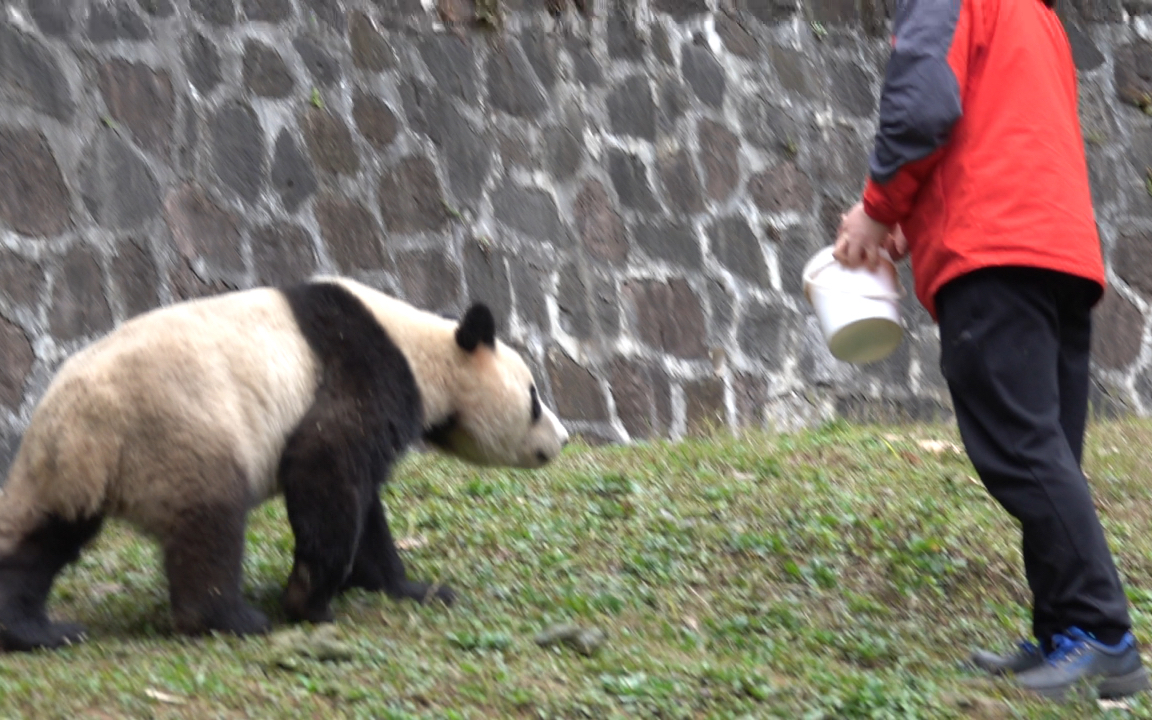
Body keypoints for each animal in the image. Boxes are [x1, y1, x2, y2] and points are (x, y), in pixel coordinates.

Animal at [0, 276, 569, 649]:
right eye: (534, 397)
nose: (562, 439)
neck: (422, 346)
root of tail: (79, 418)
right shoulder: (362, 366)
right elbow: (324, 458)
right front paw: (308, 601)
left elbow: (364, 508)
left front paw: (411, 588)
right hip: (178, 430)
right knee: (209, 521)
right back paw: (230, 619)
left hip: (69, 469)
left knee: (42, 541)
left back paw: (36, 630)